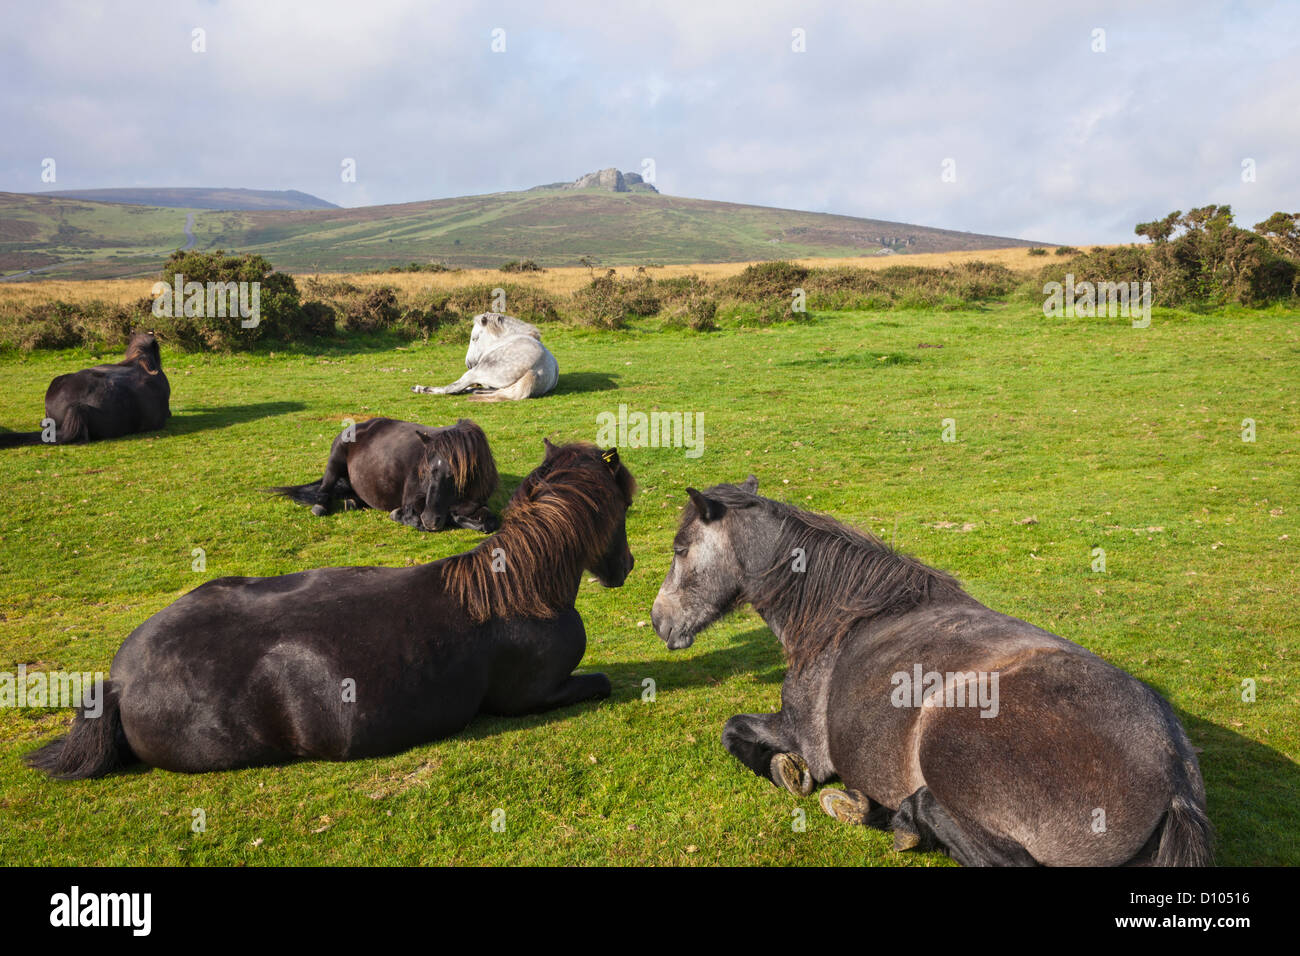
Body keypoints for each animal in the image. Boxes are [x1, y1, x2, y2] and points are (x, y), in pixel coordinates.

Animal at [26, 441, 636, 779]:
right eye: (625, 504)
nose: (625, 567)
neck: (519, 588)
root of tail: (119, 682)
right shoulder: (535, 697)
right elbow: (604, 682)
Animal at [269, 417, 500, 533]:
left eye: (454, 475)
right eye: (426, 471)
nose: (430, 519)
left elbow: (489, 522)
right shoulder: (413, 501)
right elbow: (412, 517)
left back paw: (353, 502)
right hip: (335, 460)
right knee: (325, 486)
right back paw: (321, 506)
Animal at [411, 312, 558, 402]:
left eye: (474, 338)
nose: (469, 364)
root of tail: (536, 371)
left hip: (476, 372)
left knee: (452, 388)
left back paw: (420, 388)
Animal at [650, 478, 1212, 867]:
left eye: (680, 549)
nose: (658, 621)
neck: (841, 616)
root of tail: (1173, 774)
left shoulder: (800, 732)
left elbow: (734, 733)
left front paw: (788, 773)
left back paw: (900, 815)